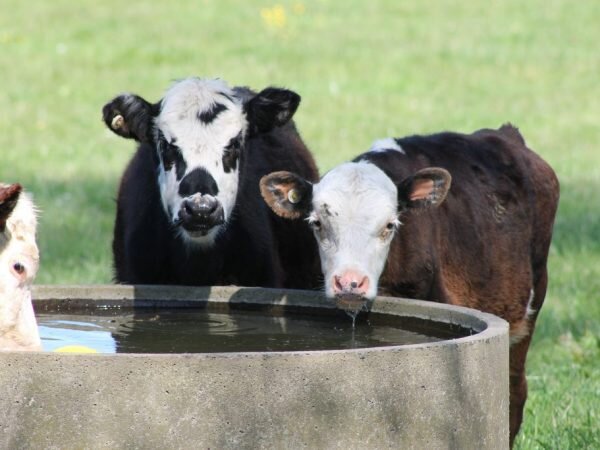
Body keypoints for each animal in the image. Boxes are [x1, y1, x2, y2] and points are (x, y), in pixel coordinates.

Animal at [260, 125, 560, 444]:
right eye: (317, 223)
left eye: (389, 225)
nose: (350, 282)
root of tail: (504, 135)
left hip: (530, 305)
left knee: (515, 391)